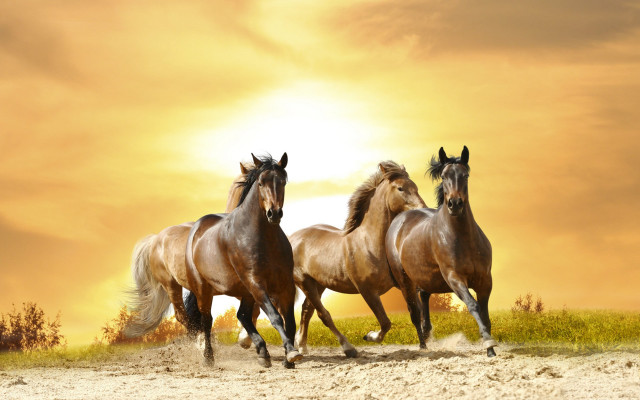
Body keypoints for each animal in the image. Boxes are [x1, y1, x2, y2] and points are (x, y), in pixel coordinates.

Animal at [183, 153, 302, 368]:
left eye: (282, 182)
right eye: (261, 183)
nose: (274, 213)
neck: (264, 238)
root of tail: (196, 228)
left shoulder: (285, 285)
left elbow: (289, 321)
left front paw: (289, 358)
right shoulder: (256, 283)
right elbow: (275, 317)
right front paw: (291, 352)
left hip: (245, 291)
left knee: (242, 315)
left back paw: (263, 353)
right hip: (204, 290)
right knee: (207, 321)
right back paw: (208, 358)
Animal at [291, 161, 426, 357]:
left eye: (415, 186)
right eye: (400, 188)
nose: (422, 209)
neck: (370, 243)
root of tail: (292, 238)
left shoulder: (404, 284)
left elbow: (416, 313)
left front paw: (425, 345)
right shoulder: (367, 291)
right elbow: (385, 322)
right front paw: (369, 336)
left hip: (319, 284)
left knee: (306, 311)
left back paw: (301, 345)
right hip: (305, 282)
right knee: (323, 315)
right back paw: (348, 348)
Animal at [385, 146, 497, 357]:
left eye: (465, 175)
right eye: (444, 176)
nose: (455, 204)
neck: (463, 238)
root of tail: (399, 219)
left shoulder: (485, 280)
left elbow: (485, 313)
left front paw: (490, 347)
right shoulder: (454, 278)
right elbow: (473, 305)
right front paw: (488, 344)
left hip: (425, 277)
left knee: (424, 298)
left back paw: (427, 334)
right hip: (405, 281)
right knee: (414, 312)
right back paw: (423, 345)